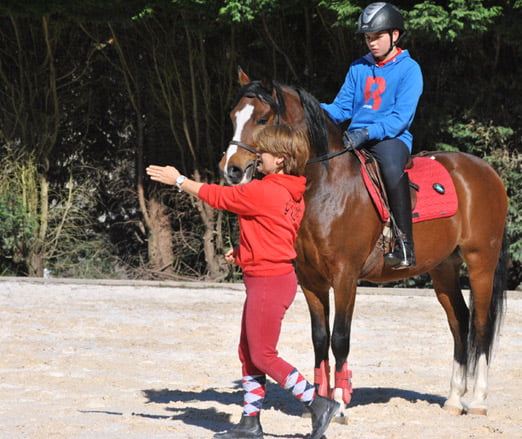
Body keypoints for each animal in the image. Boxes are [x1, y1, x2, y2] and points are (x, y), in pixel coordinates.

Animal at [217, 67, 506, 422]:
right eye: (233, 115)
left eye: (262, 118)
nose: (231, 169)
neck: (326, 186)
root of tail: (485, 171)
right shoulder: (310, 279)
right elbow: (319, 338)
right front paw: (319, 402)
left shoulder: (345, 277)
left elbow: (340, 338)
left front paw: (340, 404)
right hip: (444, 268)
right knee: (460, 322)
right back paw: (453, 399)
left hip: (481, 263)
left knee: (480, 325)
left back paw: (477, 401)